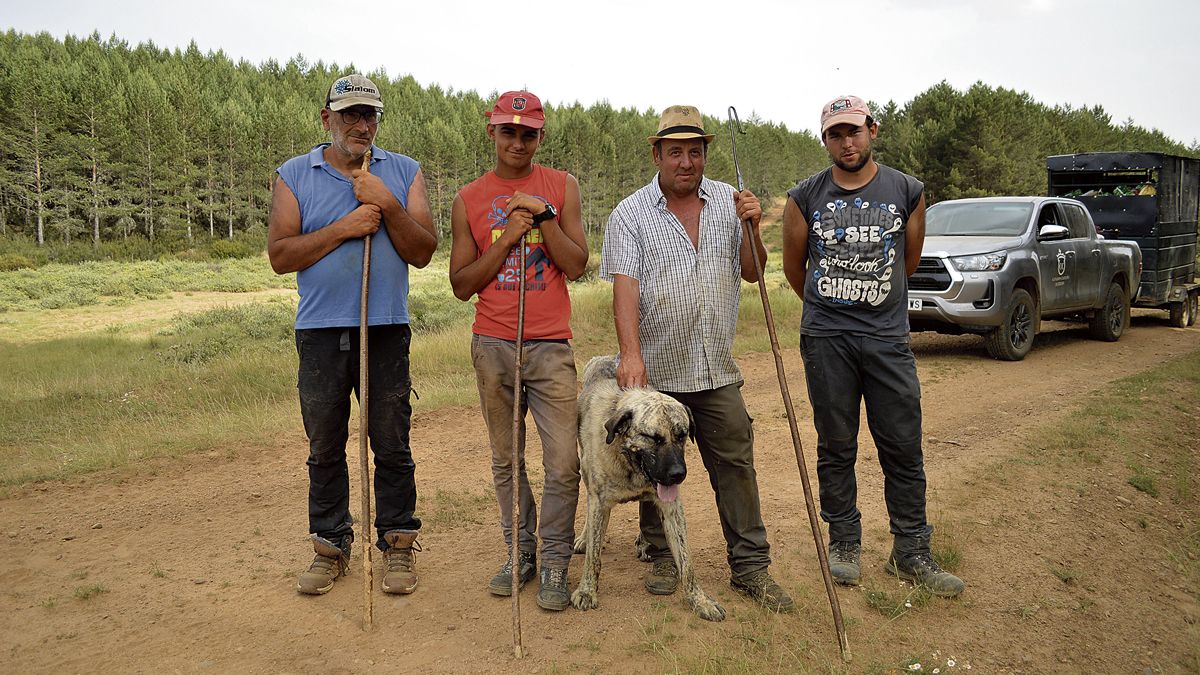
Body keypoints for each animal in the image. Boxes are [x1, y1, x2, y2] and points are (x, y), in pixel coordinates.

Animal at [568, 353, 724, 619]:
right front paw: (587, 591)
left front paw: (700, 600)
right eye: (653, 438)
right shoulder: (599, 501)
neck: (627, 460)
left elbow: (687, 562)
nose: (678, 474)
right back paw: (584, 538)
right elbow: (593, 558)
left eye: (682, 435)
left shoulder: (672, 508)